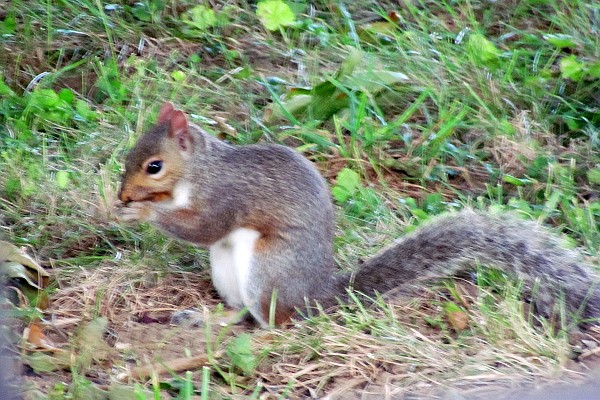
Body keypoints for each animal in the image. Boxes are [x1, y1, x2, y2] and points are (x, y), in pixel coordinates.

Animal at [118, 103, 600, 328]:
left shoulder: (227, 196)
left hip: (267, 270)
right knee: (241, 312)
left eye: (154, 166)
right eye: (129, 155)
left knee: (273, 322)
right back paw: (209, 319)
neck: (198, 171)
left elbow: (205, 226)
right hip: (225, 272)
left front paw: (143, 212)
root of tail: (314, 298)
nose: (124, 194)